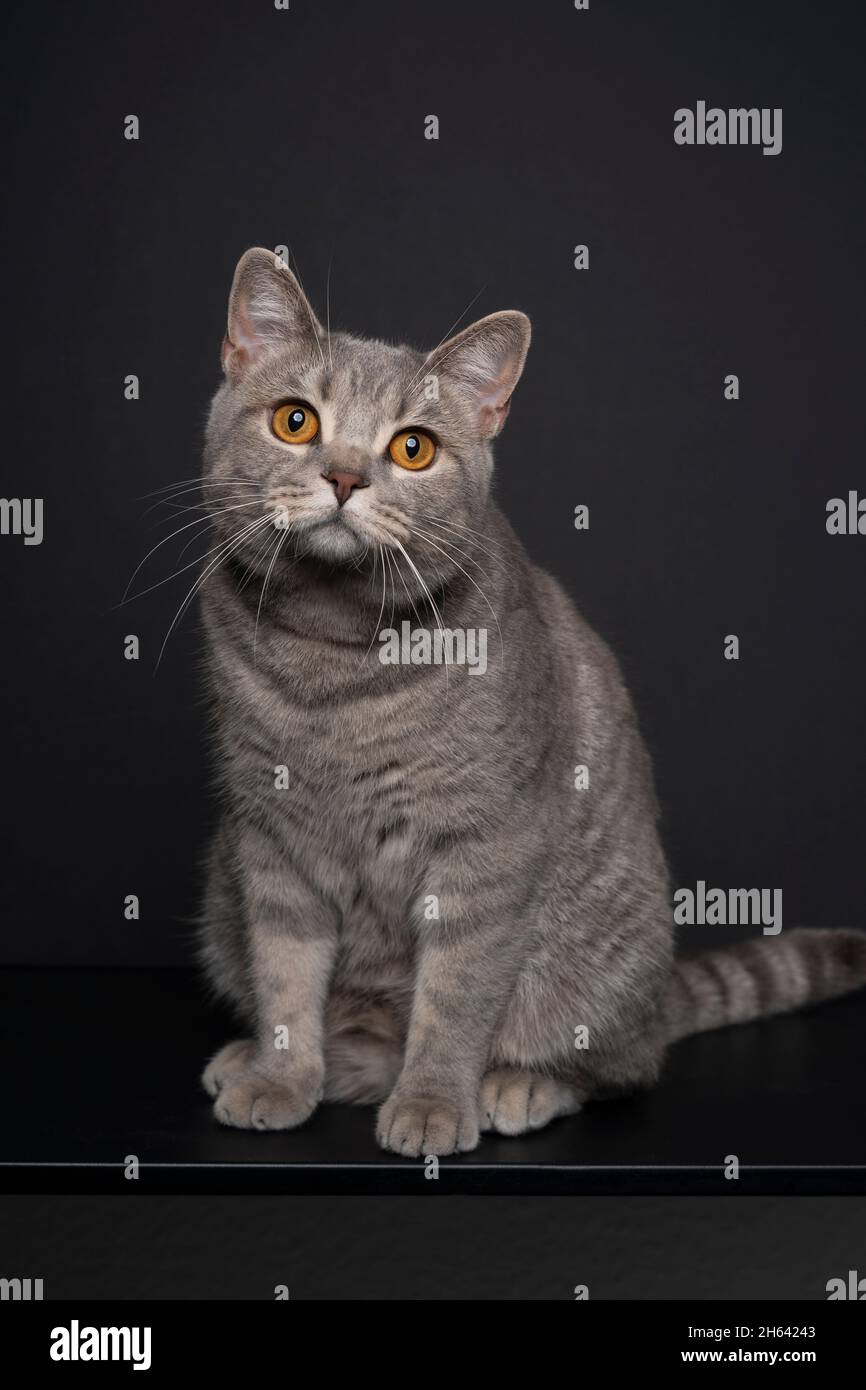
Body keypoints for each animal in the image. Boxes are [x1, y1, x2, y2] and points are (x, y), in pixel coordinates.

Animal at [195, 244, 866, 1156]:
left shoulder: (484, 845)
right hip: (220, 888)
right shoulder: (270, 840)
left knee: (615, 1063)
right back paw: (277, 1060)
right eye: (296, 421)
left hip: (599, 965)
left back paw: (516, 1085)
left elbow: (455, 996)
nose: (343, 476)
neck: (334, 663)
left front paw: (435, 1103)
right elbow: (286, 978)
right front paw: (279, 1075)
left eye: (413, 448)